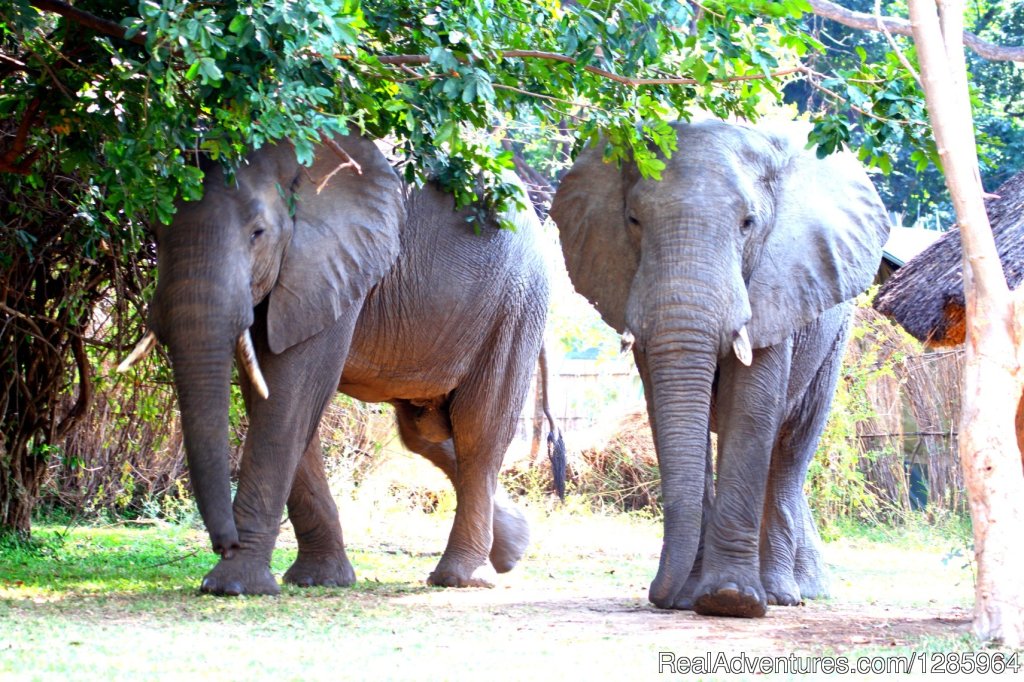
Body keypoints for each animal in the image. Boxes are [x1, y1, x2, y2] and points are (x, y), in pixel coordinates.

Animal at [125, 135, 552, 593]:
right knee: (424, 432)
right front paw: (320, 580)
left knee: (478, 429)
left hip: (516, 302)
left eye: (258, 233)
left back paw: (462, 578)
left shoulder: (332, 264)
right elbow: (274, 398)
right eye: (156, 231)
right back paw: (514, 548)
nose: (226, 544)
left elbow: (290, 395)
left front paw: (232, 585)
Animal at [548, 118, 892, 614]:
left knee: (791, 451)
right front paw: (693, 597)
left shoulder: (778, 284)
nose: (658, 596)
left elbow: (750, 408)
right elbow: (664, 410)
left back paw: (786, 594)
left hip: (835, 337)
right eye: (633, 220)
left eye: (748, 223)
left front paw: (731, 600)